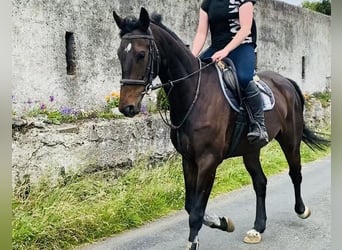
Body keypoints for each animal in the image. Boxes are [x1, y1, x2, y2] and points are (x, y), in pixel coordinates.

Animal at [112, 7, 328, 248]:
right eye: (120, 54)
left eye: (141, 54)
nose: (127, 107)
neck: (195, 95)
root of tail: (286, 81)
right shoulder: (188, 159)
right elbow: (190, 206)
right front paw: (223, 222)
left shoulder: (208, 160)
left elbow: (196, 211)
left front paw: (195, 241)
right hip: (251, 150)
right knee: (260, 182)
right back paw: (258, 228)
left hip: (290, 139)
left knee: (295, 172)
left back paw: (301, 210)